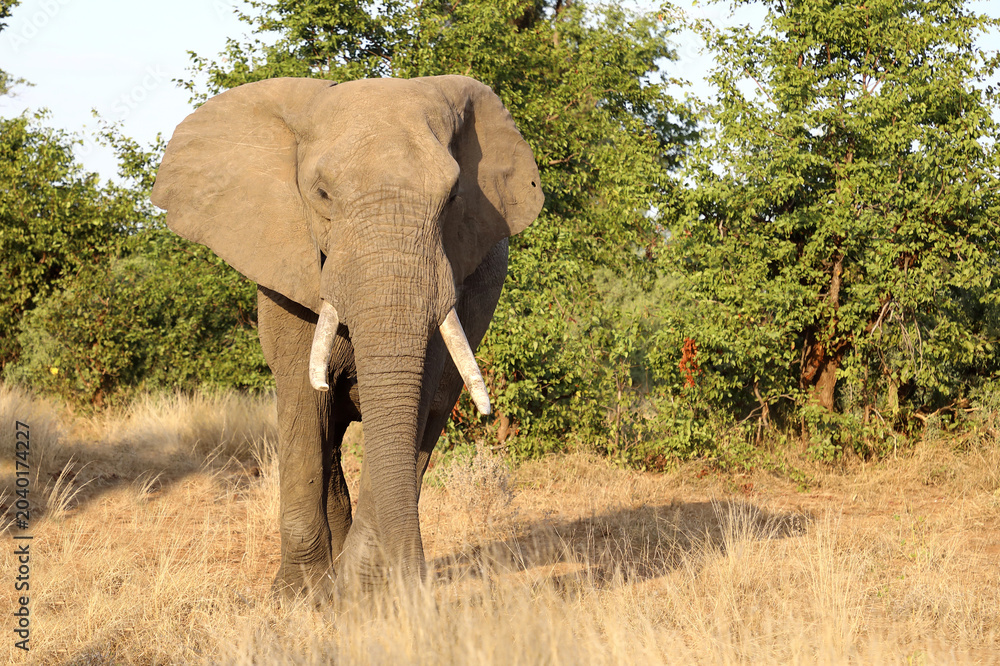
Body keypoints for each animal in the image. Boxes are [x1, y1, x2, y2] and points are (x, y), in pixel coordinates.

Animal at [150, 75, 543, 601]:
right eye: (321, 193)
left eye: (454, 194)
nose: (416, 585)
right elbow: (302, 402)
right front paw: (298, 596)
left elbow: (408, 404)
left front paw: (364, 595)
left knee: (426, 427)